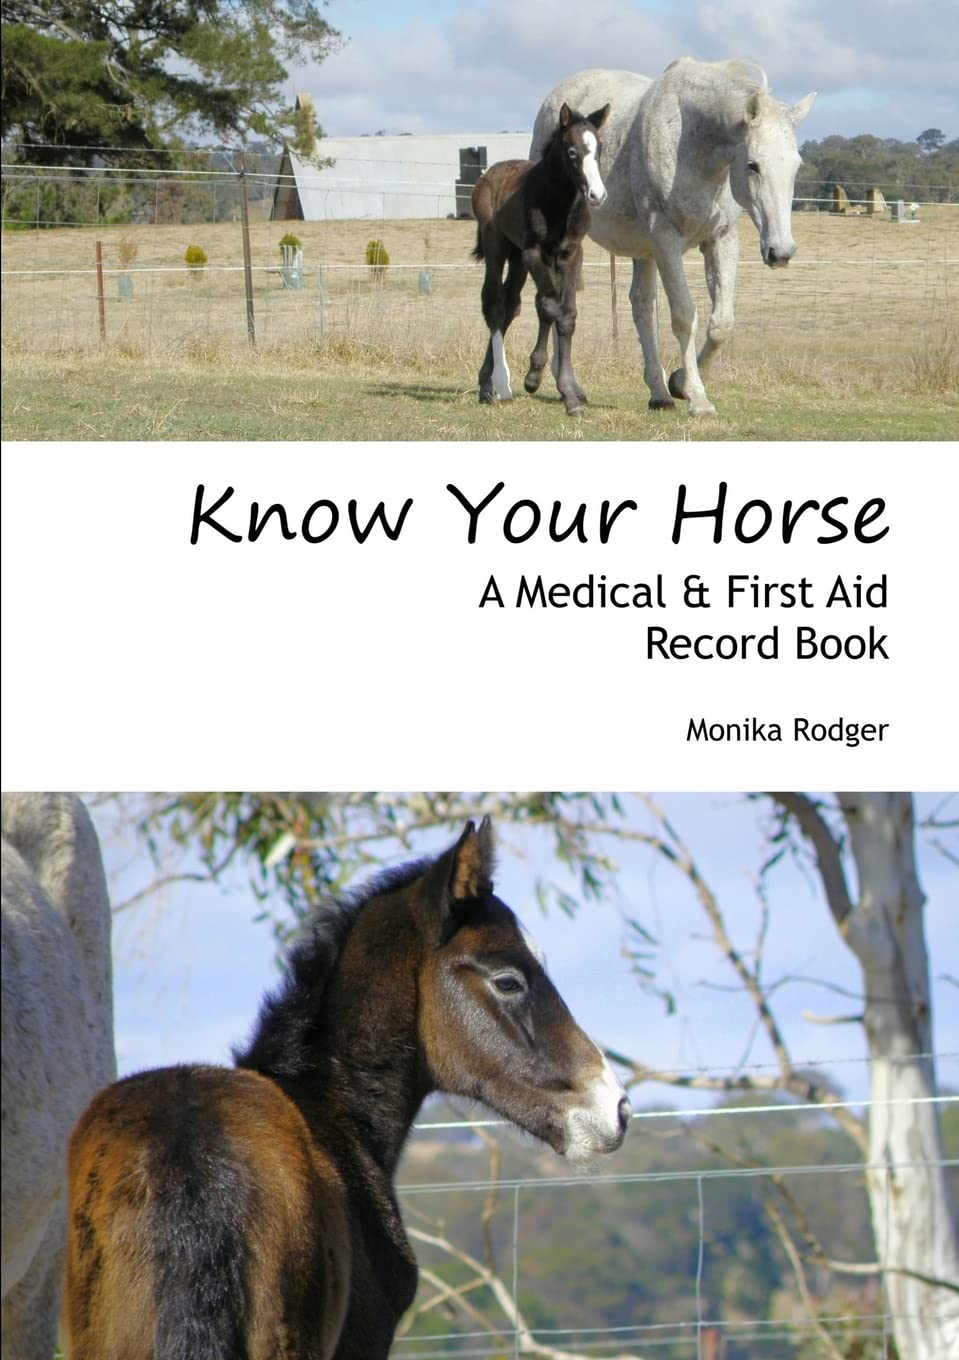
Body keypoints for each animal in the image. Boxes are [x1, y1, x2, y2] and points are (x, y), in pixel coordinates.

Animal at [472, 101, 610, 415]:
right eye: (572, 152)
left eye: (599, 149)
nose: (597, 195)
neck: (559, 203)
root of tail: (487, 175)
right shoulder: (534, 252)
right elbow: (549, 305)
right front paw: (536, 377)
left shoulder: (571, 254)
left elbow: (565, 313)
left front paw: (568, 394)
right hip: (497, 246)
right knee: (494, 303)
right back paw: (498, 385)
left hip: (517, 258)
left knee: (510, 304)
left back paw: (487, 380)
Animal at [531, 60, 816, 416]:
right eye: (753, 165)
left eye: (796, 165)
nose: (781, 251)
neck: (693, 145)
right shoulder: (666, 241)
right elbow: (683, 316)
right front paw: (697, 397)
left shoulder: (720, 239)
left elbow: (721, 323)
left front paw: (678, 383)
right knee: (559, 299)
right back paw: (564, 384)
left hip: (644, 252)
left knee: (641, 306)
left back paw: (658, 393)